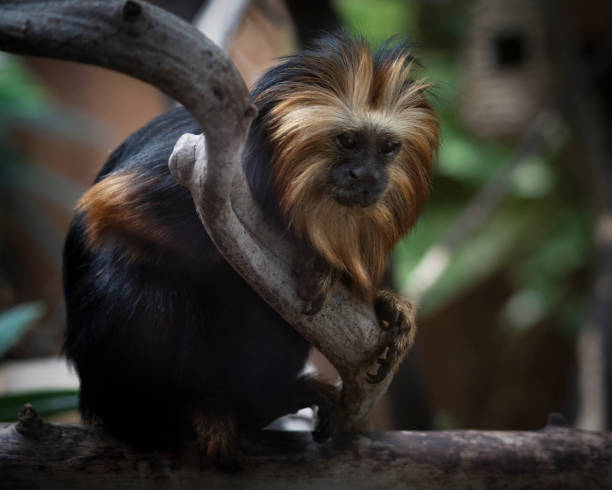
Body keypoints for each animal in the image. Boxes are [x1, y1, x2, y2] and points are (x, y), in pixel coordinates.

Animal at [62, 35, 438, 460]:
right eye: (347, 142)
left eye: (387, 148)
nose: (369, 176)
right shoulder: (201, 162)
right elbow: (110, 206)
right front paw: (314, 261)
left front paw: (385, 305)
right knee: (140, 284)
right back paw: (182, 413)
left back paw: (264, 403)